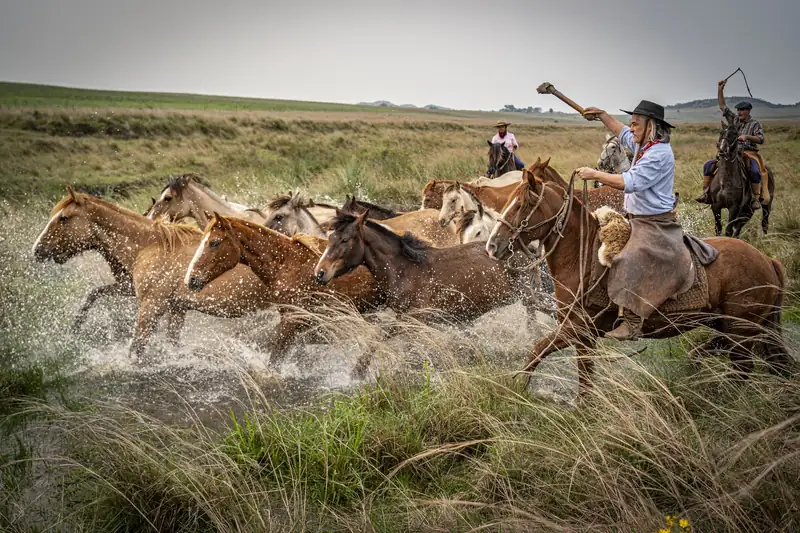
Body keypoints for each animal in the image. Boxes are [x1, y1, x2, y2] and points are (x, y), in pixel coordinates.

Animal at [32, 187, 272, 359]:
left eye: (63, 218)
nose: (37, 249)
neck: (149, 246)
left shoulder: (151, 307)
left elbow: (136, 349)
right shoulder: (172, 306)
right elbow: (94, 293)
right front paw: (74, 329)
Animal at [313, 210, 548, 324]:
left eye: (345, 240)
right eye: (330, 237)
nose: (320, 272)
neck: (405, 270)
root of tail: (526, 250)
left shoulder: (417, 319)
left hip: (530, 297)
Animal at [485, 160, 790, 398]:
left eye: (521, 204)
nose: (492, 245)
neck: (581, 256)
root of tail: (768, 261)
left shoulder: (578, 330)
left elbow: (544, 354)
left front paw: (521, 388)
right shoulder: (580, 333)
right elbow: (567, 366)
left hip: (741, 332)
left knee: (740, 371)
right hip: (730, 327)